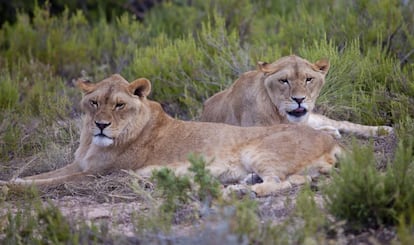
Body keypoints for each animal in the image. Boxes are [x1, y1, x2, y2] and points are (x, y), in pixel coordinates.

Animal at [1, 73, 342, 196]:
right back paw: (245, 182)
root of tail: (331, 141)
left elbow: (48, 182)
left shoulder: (97, 174)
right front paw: (12, 179)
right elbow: (41, 175)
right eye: (94, 102)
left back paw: (241, 191)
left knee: (283, 182)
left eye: (119, 105)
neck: (90, 143)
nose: (101, 125)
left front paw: (10, 187)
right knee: (296, 180)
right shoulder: (80, 165)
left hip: (258, 151)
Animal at [200, 54, 392, 138]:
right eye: (284, 80)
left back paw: (383, 130)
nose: (299, 99)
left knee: (342, 123)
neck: (280, 115)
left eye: (308, 79)